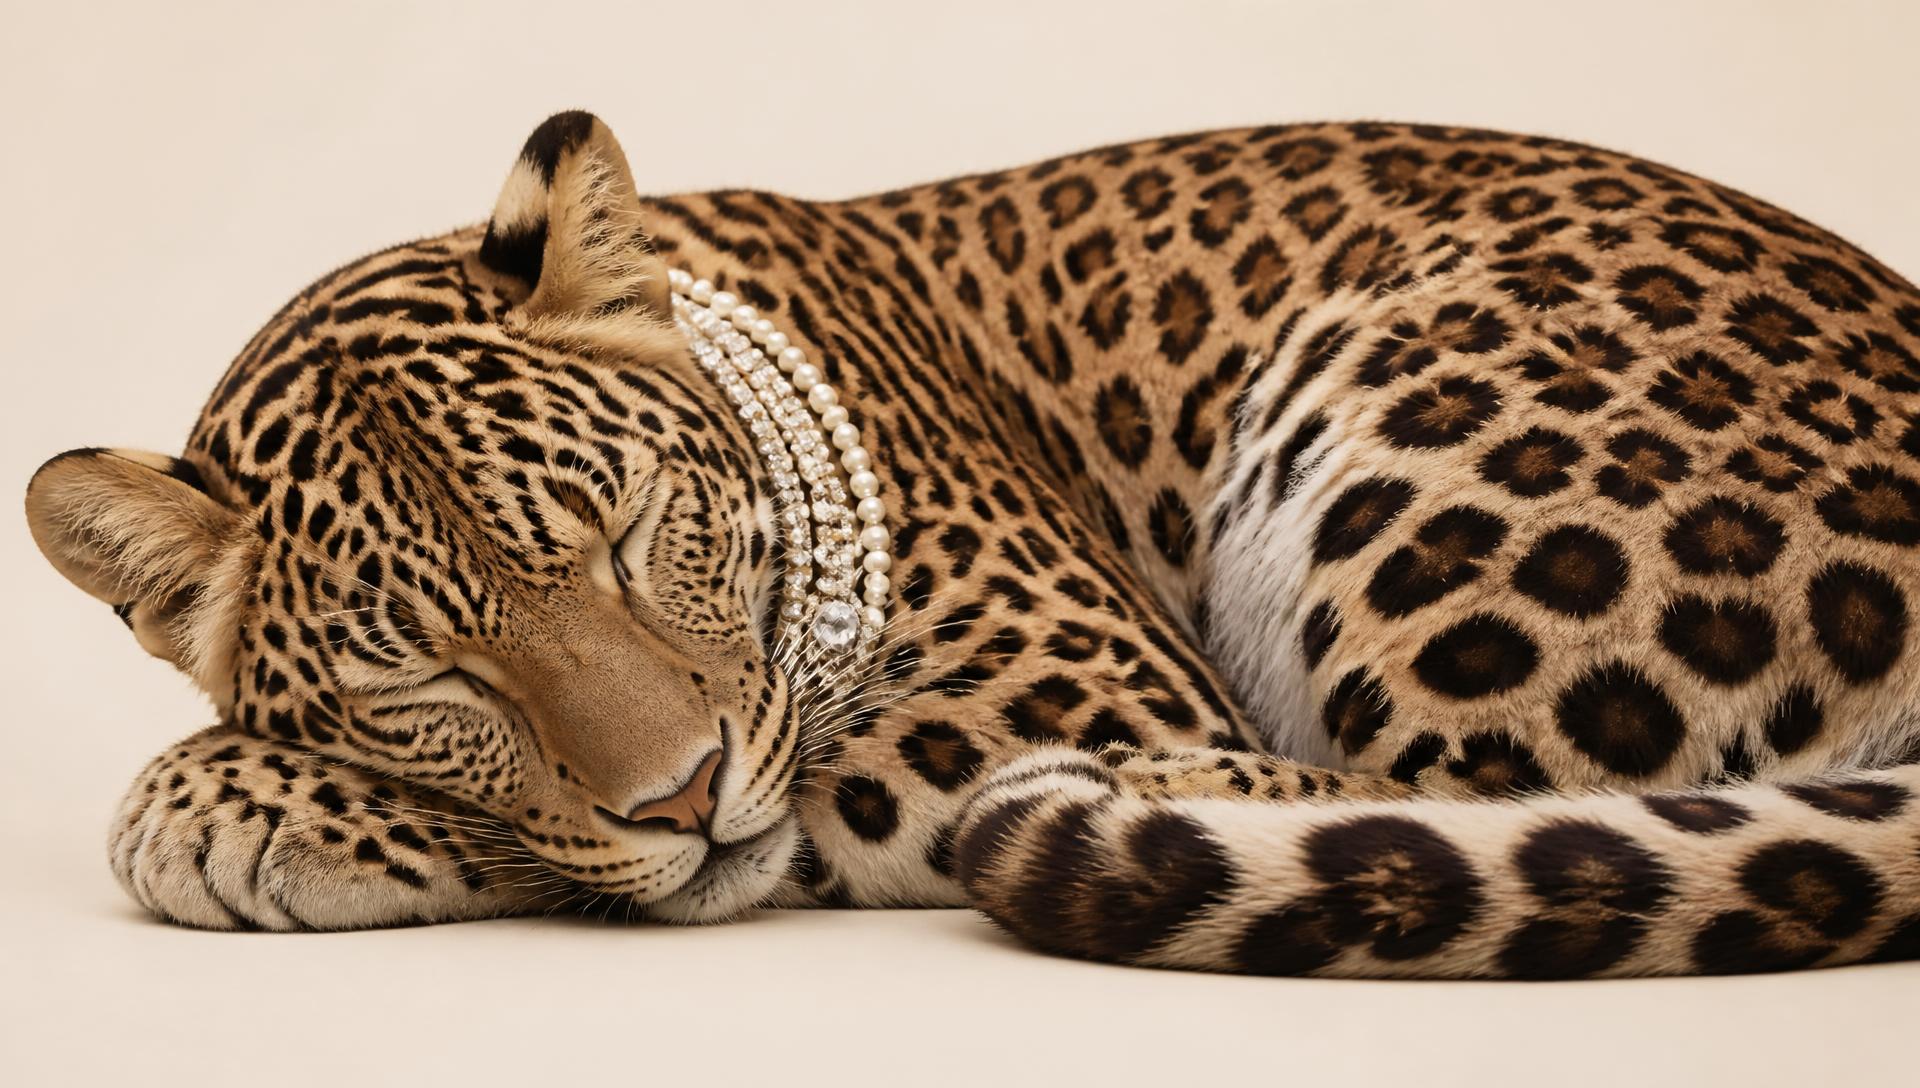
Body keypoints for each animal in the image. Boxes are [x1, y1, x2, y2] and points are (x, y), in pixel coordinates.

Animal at [27, 110, 1920, 977]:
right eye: (427, 676)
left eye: (631, 533)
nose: (680, 797)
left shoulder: (1047, 674)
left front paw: (220, 801)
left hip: (1431, 418)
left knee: (1479, 801)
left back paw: (1167, 794)